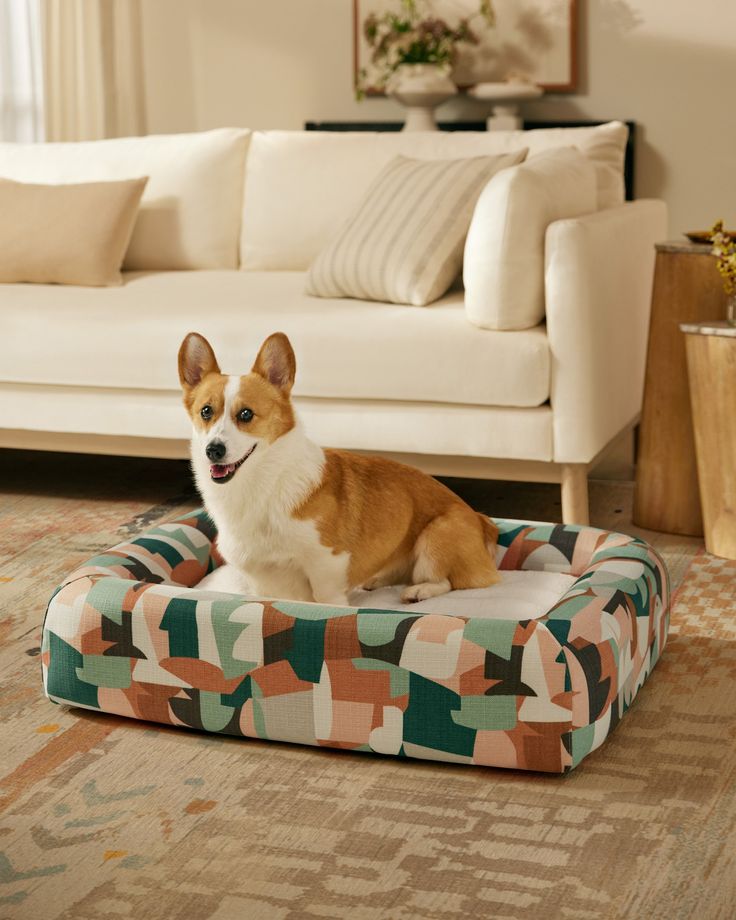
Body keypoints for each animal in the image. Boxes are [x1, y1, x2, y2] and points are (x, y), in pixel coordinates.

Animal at [178, 330, 500, 604]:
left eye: (246, 414)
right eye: (206, 411)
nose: (213, 450)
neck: (261, 486)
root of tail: (482, 520)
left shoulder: (326, 568)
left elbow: (326, 602)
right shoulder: (262, 582)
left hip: (437, 536)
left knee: (451, 581)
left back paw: (419, 591)